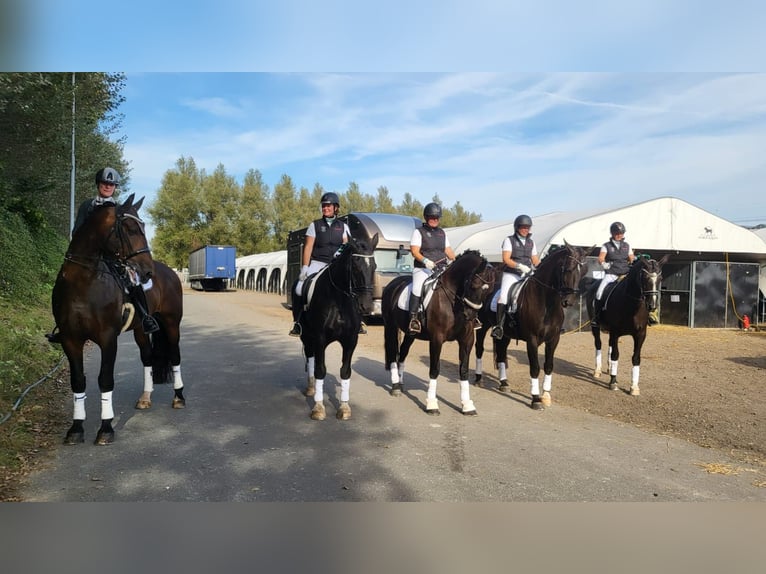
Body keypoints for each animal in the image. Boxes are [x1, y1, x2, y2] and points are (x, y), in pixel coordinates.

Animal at [50, 196, 186, 448]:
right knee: (147, 358)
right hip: (141, 330)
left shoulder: (107, 339)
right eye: (130, 229)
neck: (83, 283)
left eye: (143, 227)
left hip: (172, 324)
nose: (147, 271)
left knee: (175, 356)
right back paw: (145, 397)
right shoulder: (70, 340)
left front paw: (105, 428)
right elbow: (78, 381)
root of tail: (169, 271)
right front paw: (76, 429)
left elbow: (105, 380)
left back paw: (179, 397)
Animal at [294, 234, 378, 424]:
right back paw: (311, 388)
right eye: (356, 267)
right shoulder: (319, 338)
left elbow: (345, 371)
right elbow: (320, 370)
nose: (367, 306)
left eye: (374, 266)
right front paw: (318, 408)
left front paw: (344, 408)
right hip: (306, 336)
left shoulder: (350, 340)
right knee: (310, 358)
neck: (339, 300)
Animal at [384, 250, 498, 416]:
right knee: (393, 353)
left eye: (489, 291)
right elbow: (434, 369)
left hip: (411, 333)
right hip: (391, 327)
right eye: (473, 285)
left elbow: (464, 370)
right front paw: (432, 404)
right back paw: (395, 387)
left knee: (403, 352)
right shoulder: (436, 339)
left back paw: (400, 382)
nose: (470, 316)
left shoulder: (467, 340)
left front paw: (467, 405)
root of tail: (393, 283)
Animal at [474, 241, 592, 412]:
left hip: (505, 334)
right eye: (568, 268)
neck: (547, 302)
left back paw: (504, 383)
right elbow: (535, 368)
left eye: (584, 271)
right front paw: (536, 399)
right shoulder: (532, 340)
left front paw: (546, 396)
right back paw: (478, 379)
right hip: (483, 326)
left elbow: (548, 366)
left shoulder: (553, 339)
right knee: (479, 349)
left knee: (501, 353)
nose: (568, 301)